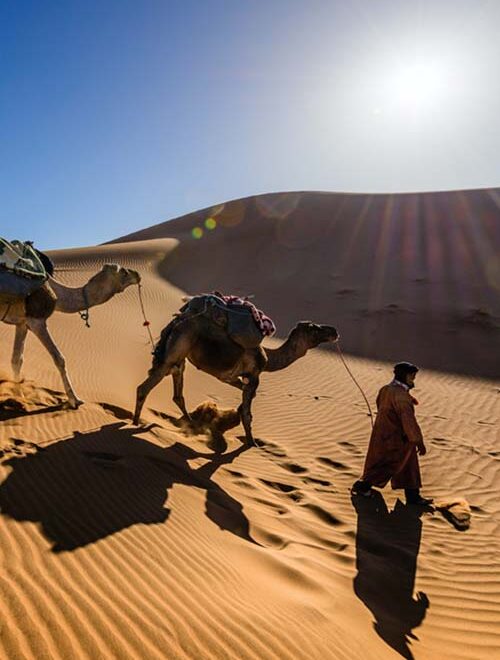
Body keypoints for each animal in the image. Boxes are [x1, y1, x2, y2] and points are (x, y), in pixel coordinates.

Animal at [1, 262, 141, 408]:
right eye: (124, 272)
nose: (137, 275)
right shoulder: (36, 321)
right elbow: (59, 359)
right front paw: (75, 400)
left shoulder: (22, 323)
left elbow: (17, 359)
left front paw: (19, 397)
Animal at [133, 298, 338, 444]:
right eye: (313, 328)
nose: (334, 331)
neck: (268, 358)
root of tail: (177, 321)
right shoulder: (254, 376)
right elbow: (248, 413)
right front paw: (251, 443)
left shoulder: (230, 377)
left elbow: (245, 398)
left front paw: (236, 417)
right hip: (176, 350)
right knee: (145, 387)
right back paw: (135, 423)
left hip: (179, 357)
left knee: (177, 392)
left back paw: (190, 423)